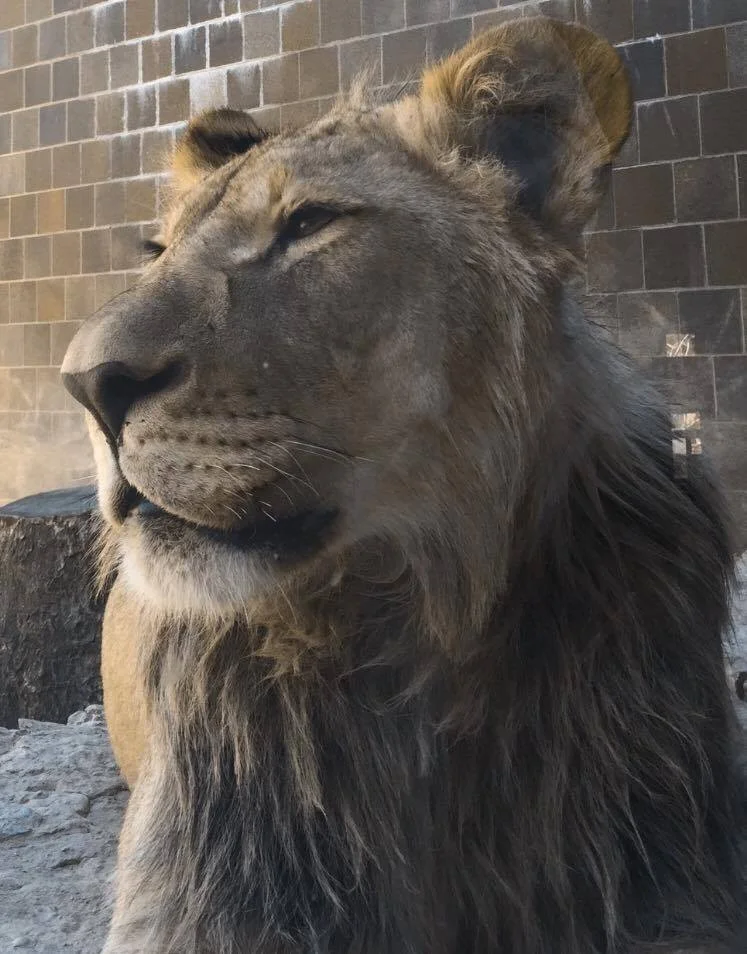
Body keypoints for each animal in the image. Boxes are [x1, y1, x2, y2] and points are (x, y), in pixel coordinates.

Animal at [60, 17, 745, 954]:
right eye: (158, 253)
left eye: (309, 222)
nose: (85, 384)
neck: (418, 618)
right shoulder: (216, 890)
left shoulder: (664, 862)